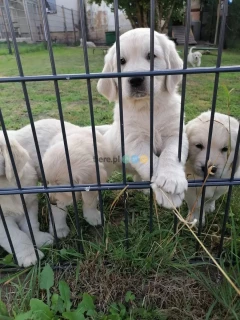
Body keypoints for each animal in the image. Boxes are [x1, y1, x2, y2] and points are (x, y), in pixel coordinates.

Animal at [96, 26, 188, 208]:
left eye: (152, 56)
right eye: (121, 61)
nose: (136, 79)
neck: (147, 107)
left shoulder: (176, 133)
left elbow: (170, 154)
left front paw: (171, 178)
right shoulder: (134, 140)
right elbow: (150, 162)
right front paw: (167, 195)